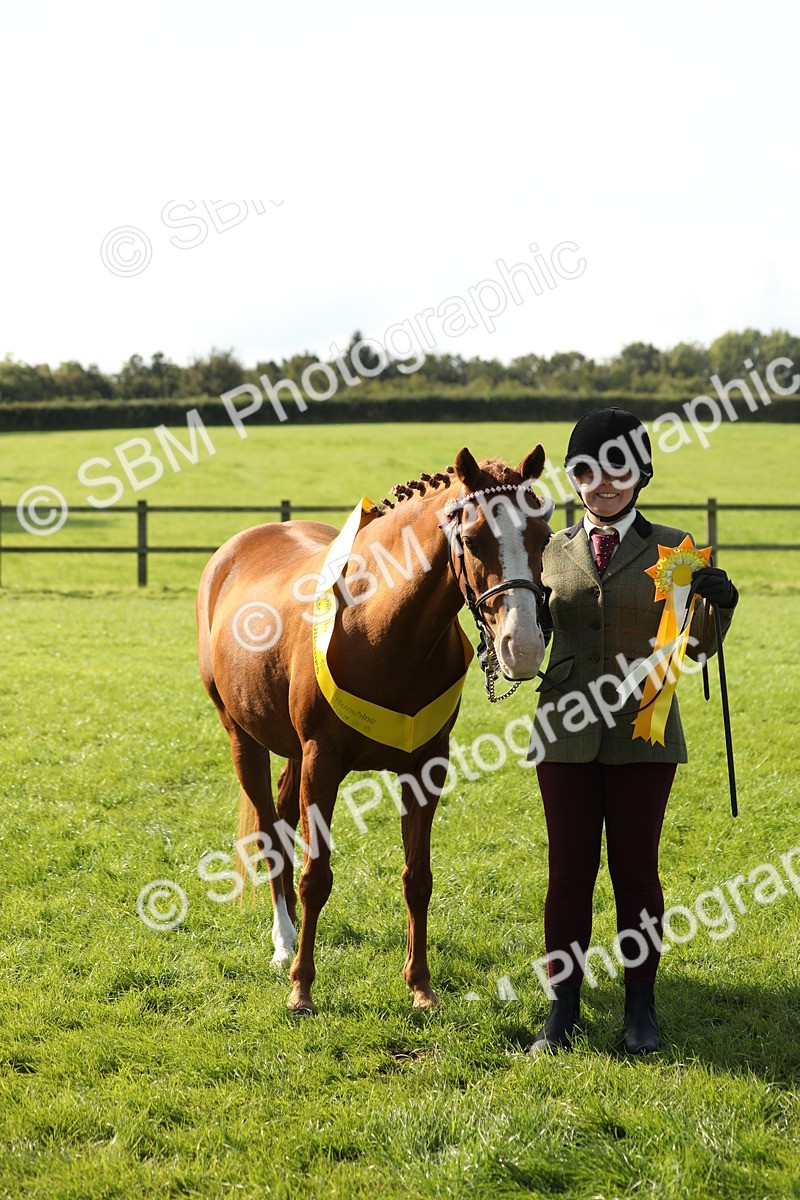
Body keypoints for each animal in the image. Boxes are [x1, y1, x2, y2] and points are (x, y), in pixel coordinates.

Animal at [196, 443, 552, 1013]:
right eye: (474, 540)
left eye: (542, 535)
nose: (522, 644)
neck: (379, 627)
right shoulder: (322, 762)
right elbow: (316, 877)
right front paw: (302, 988)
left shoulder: (425, 766)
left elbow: (418, 878)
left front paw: (421, 986)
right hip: (242, 738)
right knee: (270, 832)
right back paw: (283, 942)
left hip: (291, 751)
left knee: (282, 816)